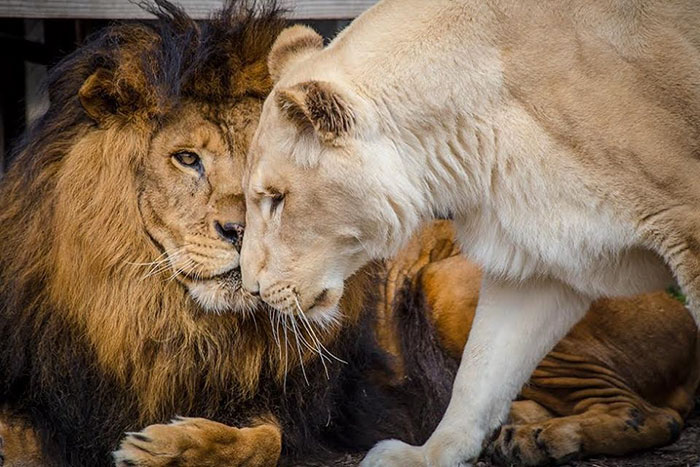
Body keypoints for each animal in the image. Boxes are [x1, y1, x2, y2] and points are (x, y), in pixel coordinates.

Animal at [239, 1, 700, 464]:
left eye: (276, 198)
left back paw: (540, 438)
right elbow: (480, 374)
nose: (252, 288)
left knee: (649, 414)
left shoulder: (686, 226)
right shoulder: (544, 258)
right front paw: (427, 454)